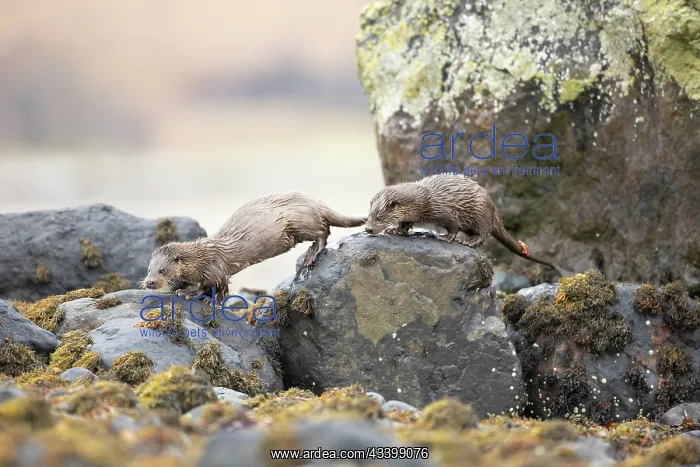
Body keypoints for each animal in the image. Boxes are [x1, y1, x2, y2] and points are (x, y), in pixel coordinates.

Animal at [140, 192, 367, 304]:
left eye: (163, 270)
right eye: (149, 269)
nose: (149, 282)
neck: (200, 259)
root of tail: (317, 203)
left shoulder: (215, 269)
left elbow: (215, 288)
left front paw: (191, 294)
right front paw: (184, 288)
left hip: (302, 223)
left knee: (323, 232)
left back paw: (311, 256)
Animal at [365, 174, 563, 272]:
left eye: (379, 217)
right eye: (369, 215)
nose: (367, 229)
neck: (423, 201)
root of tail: (493, 208)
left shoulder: (444, 211)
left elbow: (453, 226)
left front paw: (446, 237)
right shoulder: (413, 215)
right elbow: (405, 223)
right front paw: (395, 231)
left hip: (481, 214)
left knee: (483, 233)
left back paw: (469, 241)